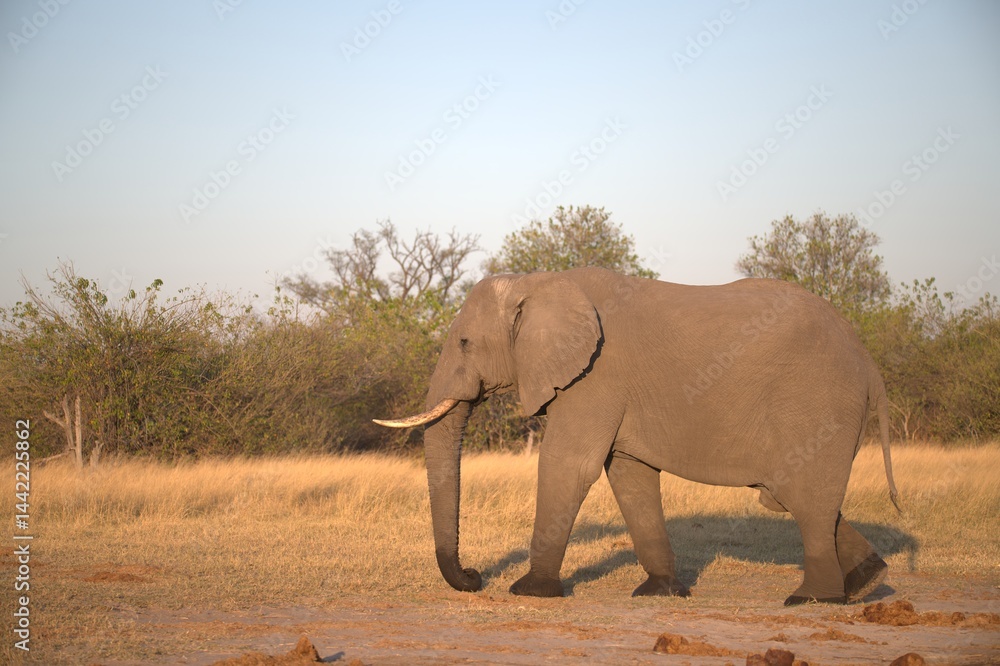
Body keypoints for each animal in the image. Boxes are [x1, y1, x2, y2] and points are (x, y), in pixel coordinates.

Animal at [374, 267, 900, 605]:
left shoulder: (596, 377)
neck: (537, 281)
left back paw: (811, 600)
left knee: (800, 496)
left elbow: (569, 464)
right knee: (793, 496)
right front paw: (660, 593)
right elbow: (628, 473)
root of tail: (868, 360)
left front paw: (530, 591)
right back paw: (867, 582)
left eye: (464, 342)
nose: (474, 576)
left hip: (817, 404)